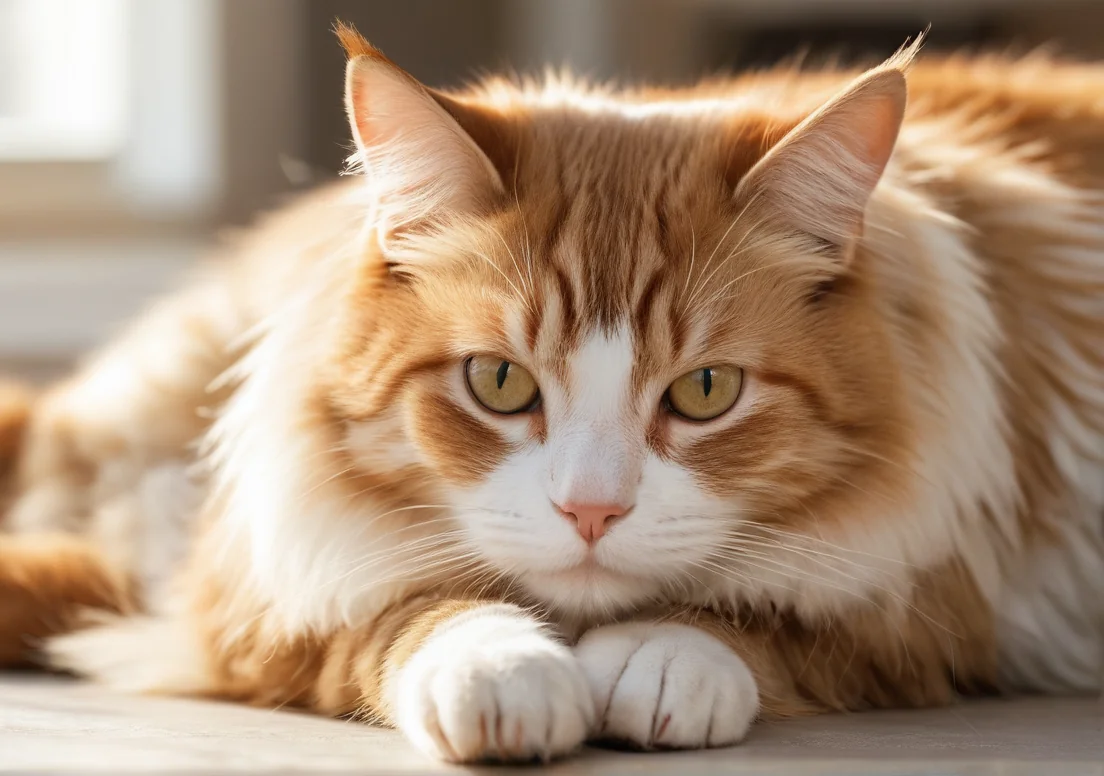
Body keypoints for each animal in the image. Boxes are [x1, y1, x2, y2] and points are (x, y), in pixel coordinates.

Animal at [2, 22, 1104, 763]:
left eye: (706, 390)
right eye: (499, 382)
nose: (591, 511)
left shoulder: (934, 603)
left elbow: (769, 622)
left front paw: (660, 653)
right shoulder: (256, 592)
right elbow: (398, 612)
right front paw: (500, 667)